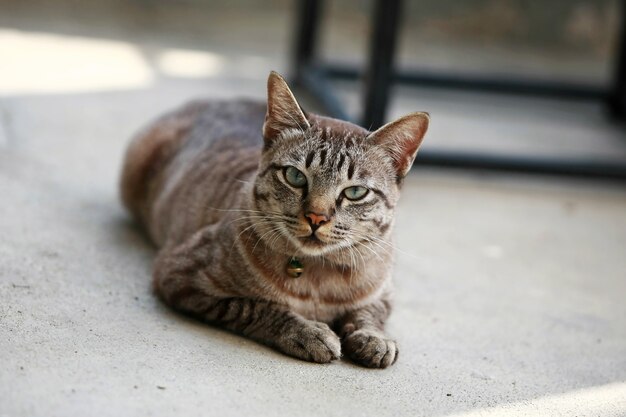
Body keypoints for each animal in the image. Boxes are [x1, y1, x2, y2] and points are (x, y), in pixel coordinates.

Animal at [119, 71, 426, 368]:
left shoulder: (383, 293)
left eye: (355, 192)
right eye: (295, 176)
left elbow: (370, 314)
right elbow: (257, 307)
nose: (316, 217)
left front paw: (375, 338)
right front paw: (308, 332)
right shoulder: (181, 275)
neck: (318, 280)